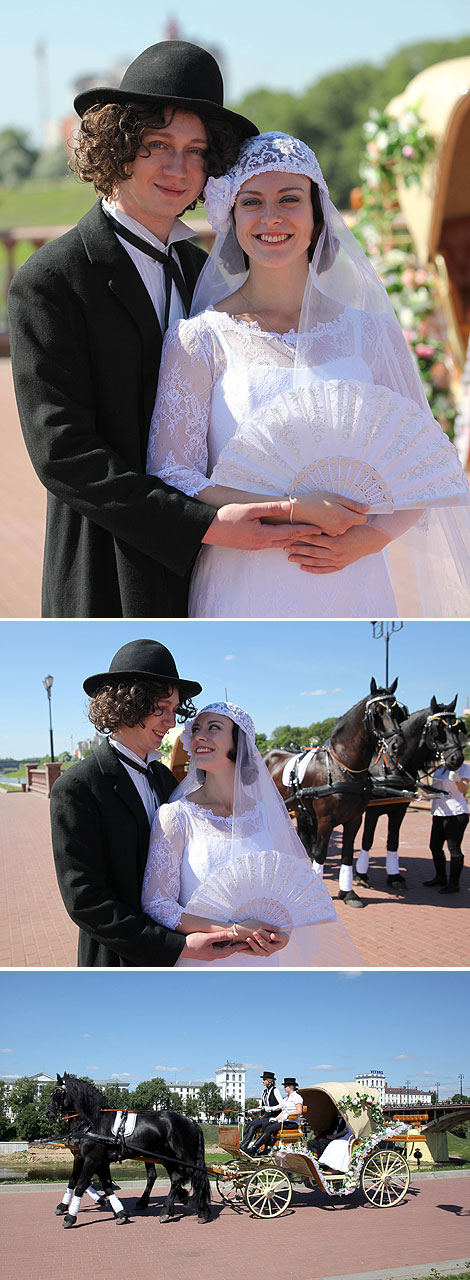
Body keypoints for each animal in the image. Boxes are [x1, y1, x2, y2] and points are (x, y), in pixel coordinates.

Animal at [46, 1070, 211, 1228]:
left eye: (57, 1092)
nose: (48, 1113)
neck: (95, 1123)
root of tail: (191, 1121)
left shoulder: (92, 1160)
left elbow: (80, 1185)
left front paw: (70, 1216)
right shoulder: (93, 1160)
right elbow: (98, 1185)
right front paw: (120, 1212)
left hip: (185, 1157)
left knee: (197, 1176)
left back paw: (201, 1211)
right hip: (166, 1157)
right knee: (176, 1178)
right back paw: (167, 1209)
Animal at [265, 680, 409, 911]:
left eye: (397, 711)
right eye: (376, 712)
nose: (398, 745)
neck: (343, 767)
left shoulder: (354, 820)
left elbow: (347, 855)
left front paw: (348, 892)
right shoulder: (326, 820)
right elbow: (320, 853)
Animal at [356, 701, 468, 890]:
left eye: (456, 728)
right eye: (438, 729)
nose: (457, 759)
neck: (392, 767)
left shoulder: (400, 809)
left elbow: (393, 841)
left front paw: (394, 876)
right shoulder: (372, 810)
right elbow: (367, 840)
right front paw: (361, 875)